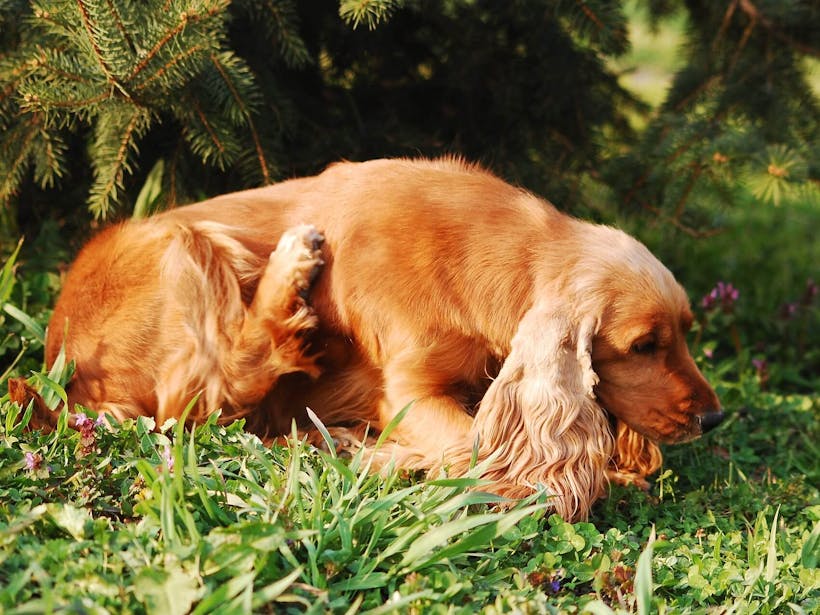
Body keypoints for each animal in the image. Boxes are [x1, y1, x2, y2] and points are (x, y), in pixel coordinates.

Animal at [20, 158, 724, 520]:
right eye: (643, 345)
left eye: (686, 334)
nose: (715, 418)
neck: (501, 255)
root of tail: (63, 371)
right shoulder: (407, 392)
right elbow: (473, 451)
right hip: (185, 244)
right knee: (211, 390)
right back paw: (292, 269)